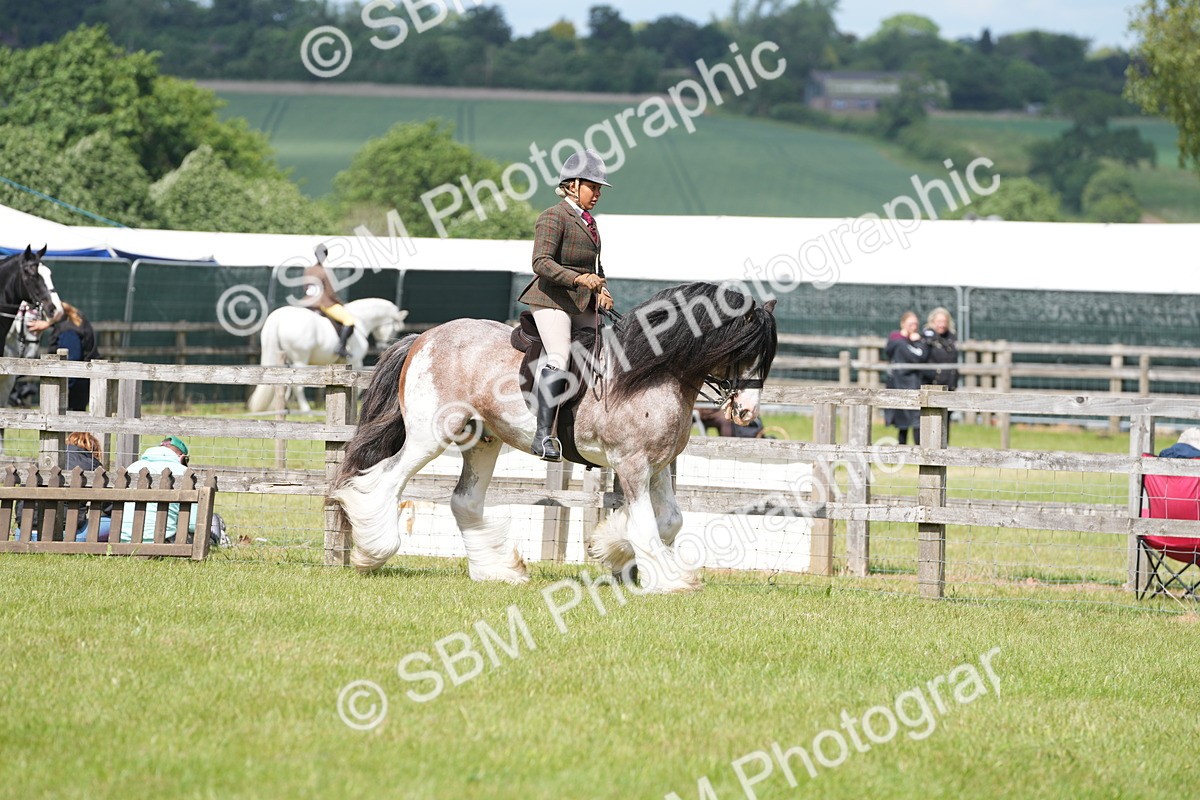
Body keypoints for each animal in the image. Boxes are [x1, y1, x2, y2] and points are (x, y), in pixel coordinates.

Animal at [247, 297, 409, 414]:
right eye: (395, 328)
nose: (384, 346)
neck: (361, 319)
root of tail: (278, 317)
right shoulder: (357, 361)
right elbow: (358, 386)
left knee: (283, 383)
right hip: (300, 359)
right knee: (297, 386)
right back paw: (306, 409)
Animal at [331, 282, 777, 593]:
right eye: (743, 350)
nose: (747, 412)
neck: (651, 372)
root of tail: (422, 338)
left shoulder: (658, 465)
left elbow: (669, 520)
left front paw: (612, 551)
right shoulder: (632, 464)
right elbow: (647, 525)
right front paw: (667, 581)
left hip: (483, 440)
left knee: (464, 501)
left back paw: (496, 572)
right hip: (430, 436)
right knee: (384, 481)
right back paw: (373, 553)